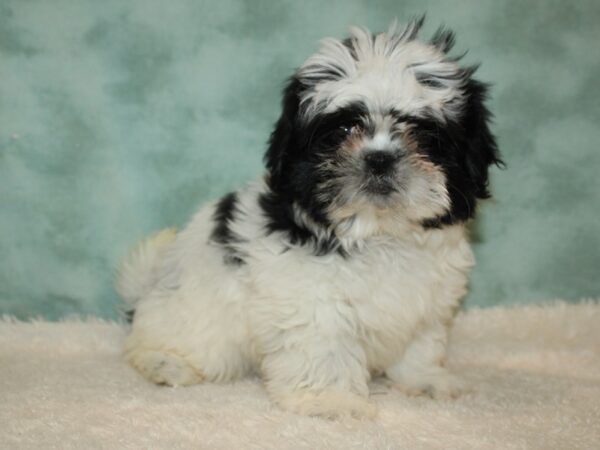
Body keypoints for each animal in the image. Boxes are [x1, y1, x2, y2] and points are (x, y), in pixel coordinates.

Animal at [116, 17, 502, 418]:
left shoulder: (426, 302)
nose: (379, 158)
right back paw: (166, 364)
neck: (379, 232)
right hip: (194, 319)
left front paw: (426, 380)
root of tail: (146, 288)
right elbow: (326, 352)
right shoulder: (312, 304)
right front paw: (334, 400)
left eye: (423, 135)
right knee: (156, 343)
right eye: (343, 130)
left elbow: (421, 344)